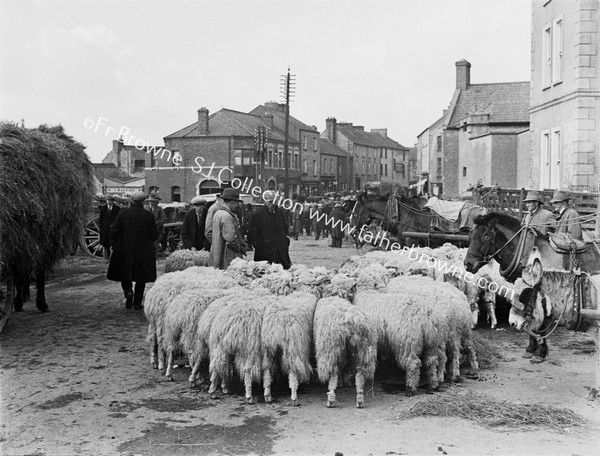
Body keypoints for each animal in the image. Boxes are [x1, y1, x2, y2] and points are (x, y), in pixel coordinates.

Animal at [466, 212, 596, 366]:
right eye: (470, 236)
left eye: (486, 237)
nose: (468, 264)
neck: (529, 254)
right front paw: (530, 349)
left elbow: (539, 326)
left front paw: (539, 353)